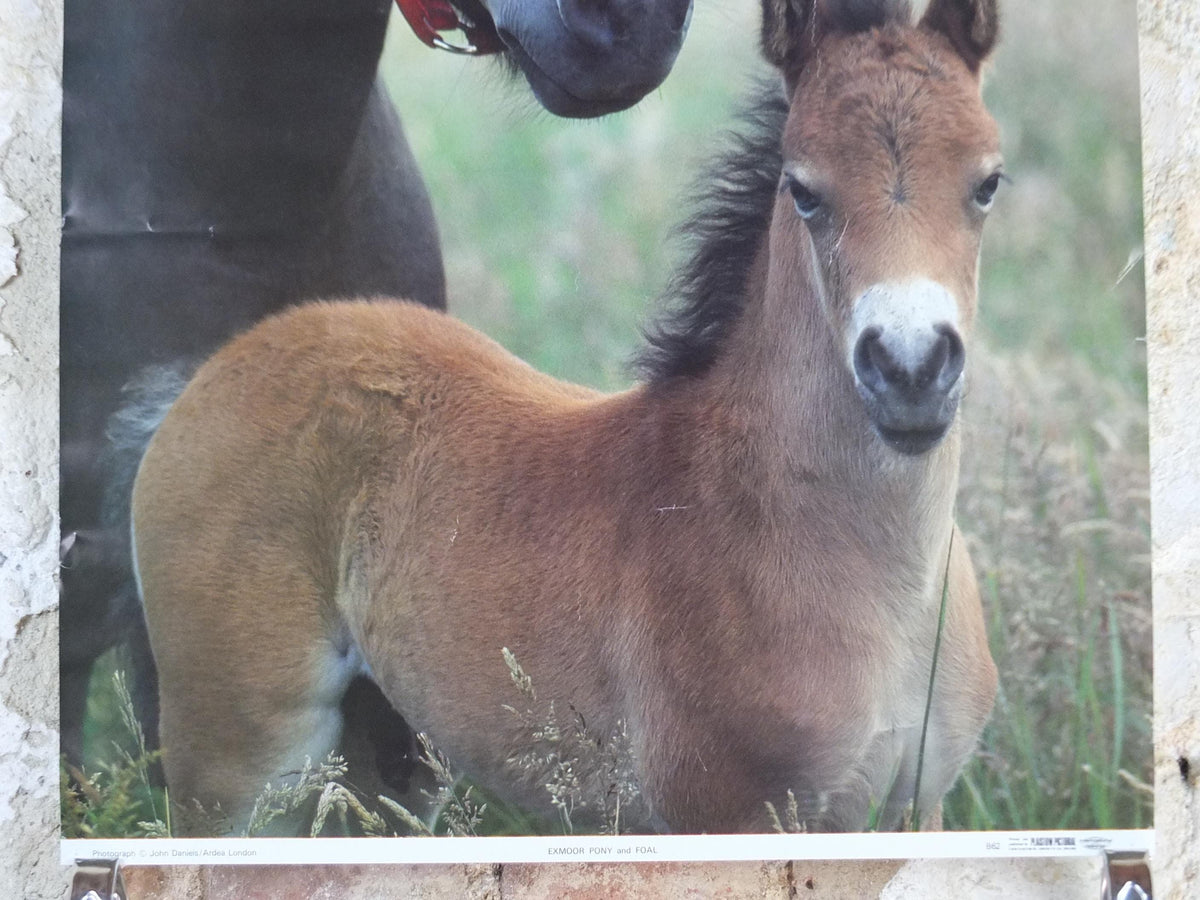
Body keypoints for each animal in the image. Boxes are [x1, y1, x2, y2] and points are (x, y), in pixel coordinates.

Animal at [131, 0, 1002, 835]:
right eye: (804, 189)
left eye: (989, 181)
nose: (911, 369)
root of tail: (230, 361)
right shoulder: (726, 815)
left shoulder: (917, 808)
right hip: (240, 763)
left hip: (386, 764)